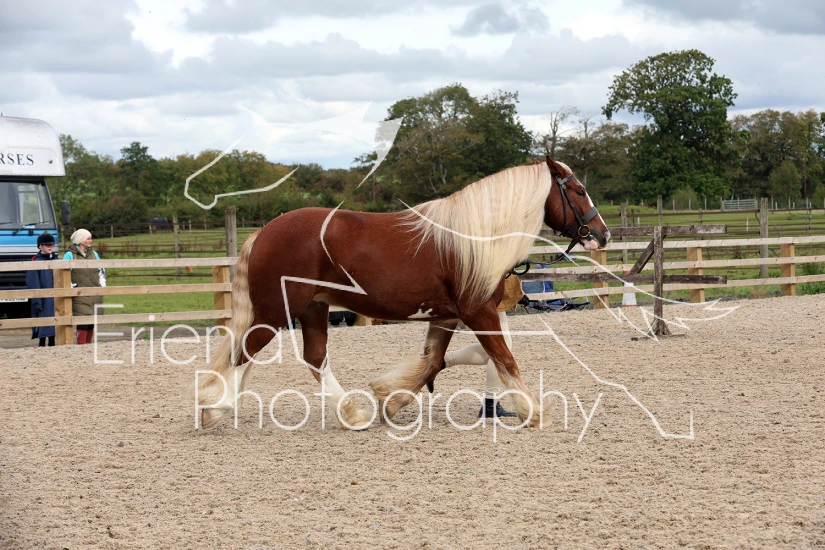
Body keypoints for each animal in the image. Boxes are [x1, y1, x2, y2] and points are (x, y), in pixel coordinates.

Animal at [197, 155, 610, 430]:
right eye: (579, 191)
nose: (602, 234)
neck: (471, 240)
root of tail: (264, 232)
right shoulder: (479, 312)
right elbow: (506, 360)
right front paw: (533, 411)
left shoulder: (447, 317)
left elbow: (435, 360)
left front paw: (391, 399)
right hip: (277, 312)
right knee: (243, 353)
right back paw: (216, 407)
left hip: (313, 309)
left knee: (312, 359)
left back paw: (351, 413)